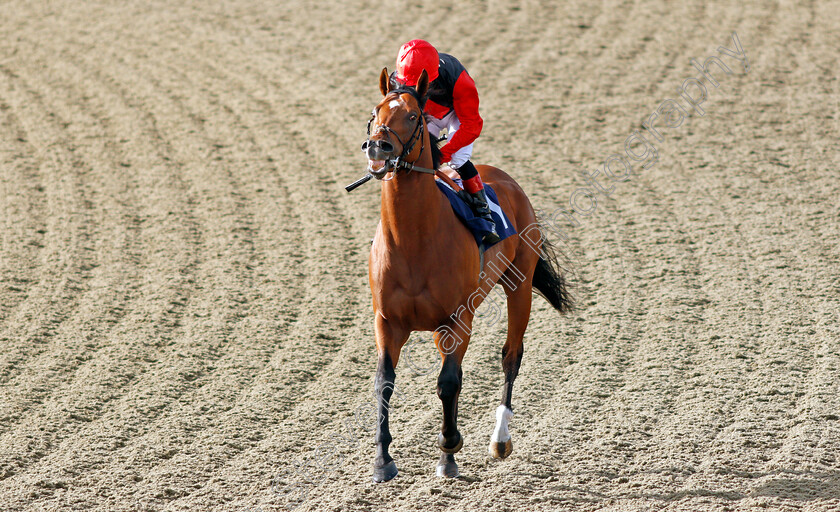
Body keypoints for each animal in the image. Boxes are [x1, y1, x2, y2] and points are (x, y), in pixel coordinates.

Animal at [360, 67, 572, 480]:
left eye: (414, 116)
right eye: (375, 111)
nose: (378, 147)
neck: (413, 240)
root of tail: (507, 179)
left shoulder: (458, 318)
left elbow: (448, 382)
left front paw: (448, 450)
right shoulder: (387, 321)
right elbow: (384, 384)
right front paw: (382, 460)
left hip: (519, 287)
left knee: (510, 356)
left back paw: (500, 439)